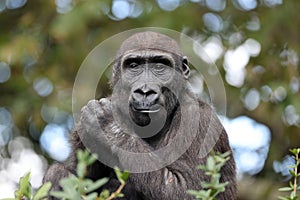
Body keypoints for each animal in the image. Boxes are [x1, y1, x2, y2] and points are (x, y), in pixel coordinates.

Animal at [44, 31, 237, 200]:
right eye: (134, 66)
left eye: (159, 66)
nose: (145, 91)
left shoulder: (199, 120)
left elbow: (185, 188)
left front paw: (107, 121)